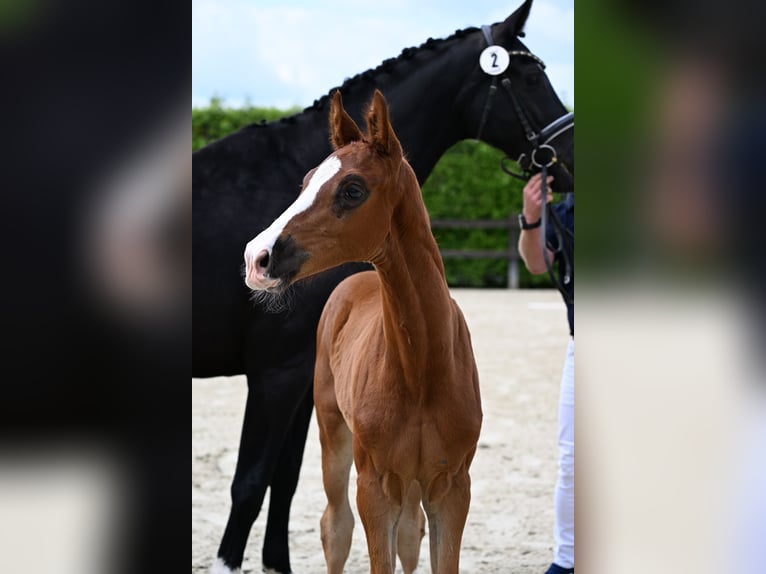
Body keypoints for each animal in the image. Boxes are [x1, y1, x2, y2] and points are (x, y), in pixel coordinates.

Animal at [246, 91, 484, 574]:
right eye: (305, 182)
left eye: (352, 190)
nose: (256, 258)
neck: (422, 369)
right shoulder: (375, 485)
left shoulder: (452, 487)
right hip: (333, 433)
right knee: (335, 527)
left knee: (410, 533)